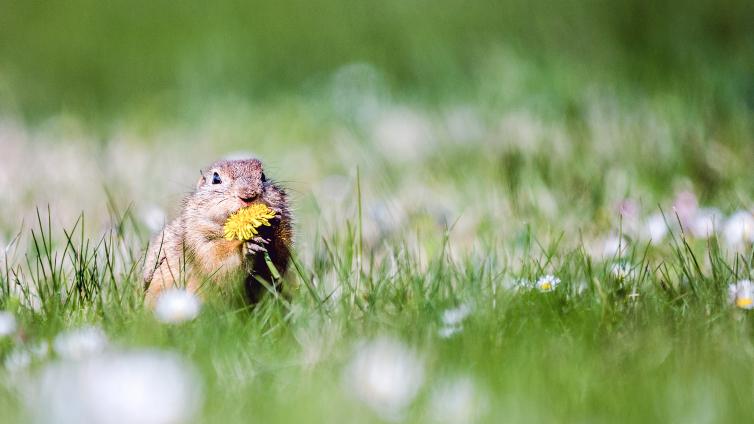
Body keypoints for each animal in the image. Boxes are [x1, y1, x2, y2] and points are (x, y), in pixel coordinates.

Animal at [142, 158, 292, 302]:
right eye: (216, 178)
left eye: (263, 176)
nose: (249, 195)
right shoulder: (198, 239)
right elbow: (216, 260)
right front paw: (247, 246)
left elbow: (277, 263)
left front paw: (274, 220)